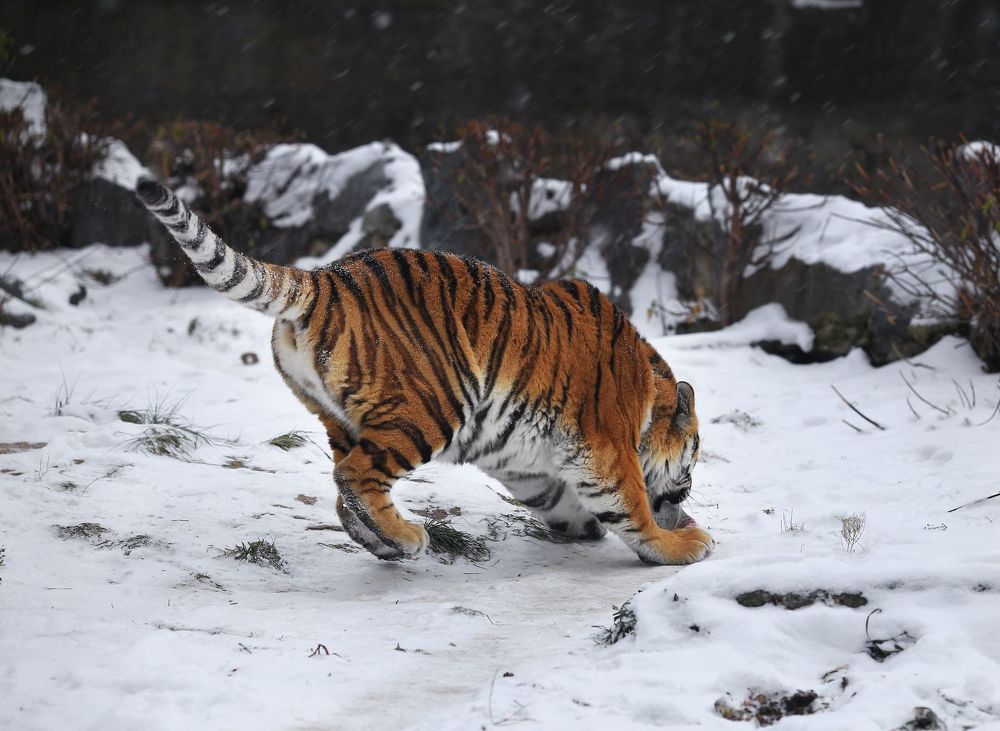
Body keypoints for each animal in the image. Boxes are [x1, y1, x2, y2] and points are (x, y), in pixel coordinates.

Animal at [135, 177, 712, 565]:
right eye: (695, 451)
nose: (687, 489)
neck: (648, 389)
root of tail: (325, 278)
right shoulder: (605, 446)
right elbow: (631, 504)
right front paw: (682, 543)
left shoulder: (528, 462)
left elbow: (560, 499)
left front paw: (594, 527)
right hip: (431, 405)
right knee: (355, 476)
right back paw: (407, 538)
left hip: (340, 417)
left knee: (344, 489)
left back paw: (383, 541)